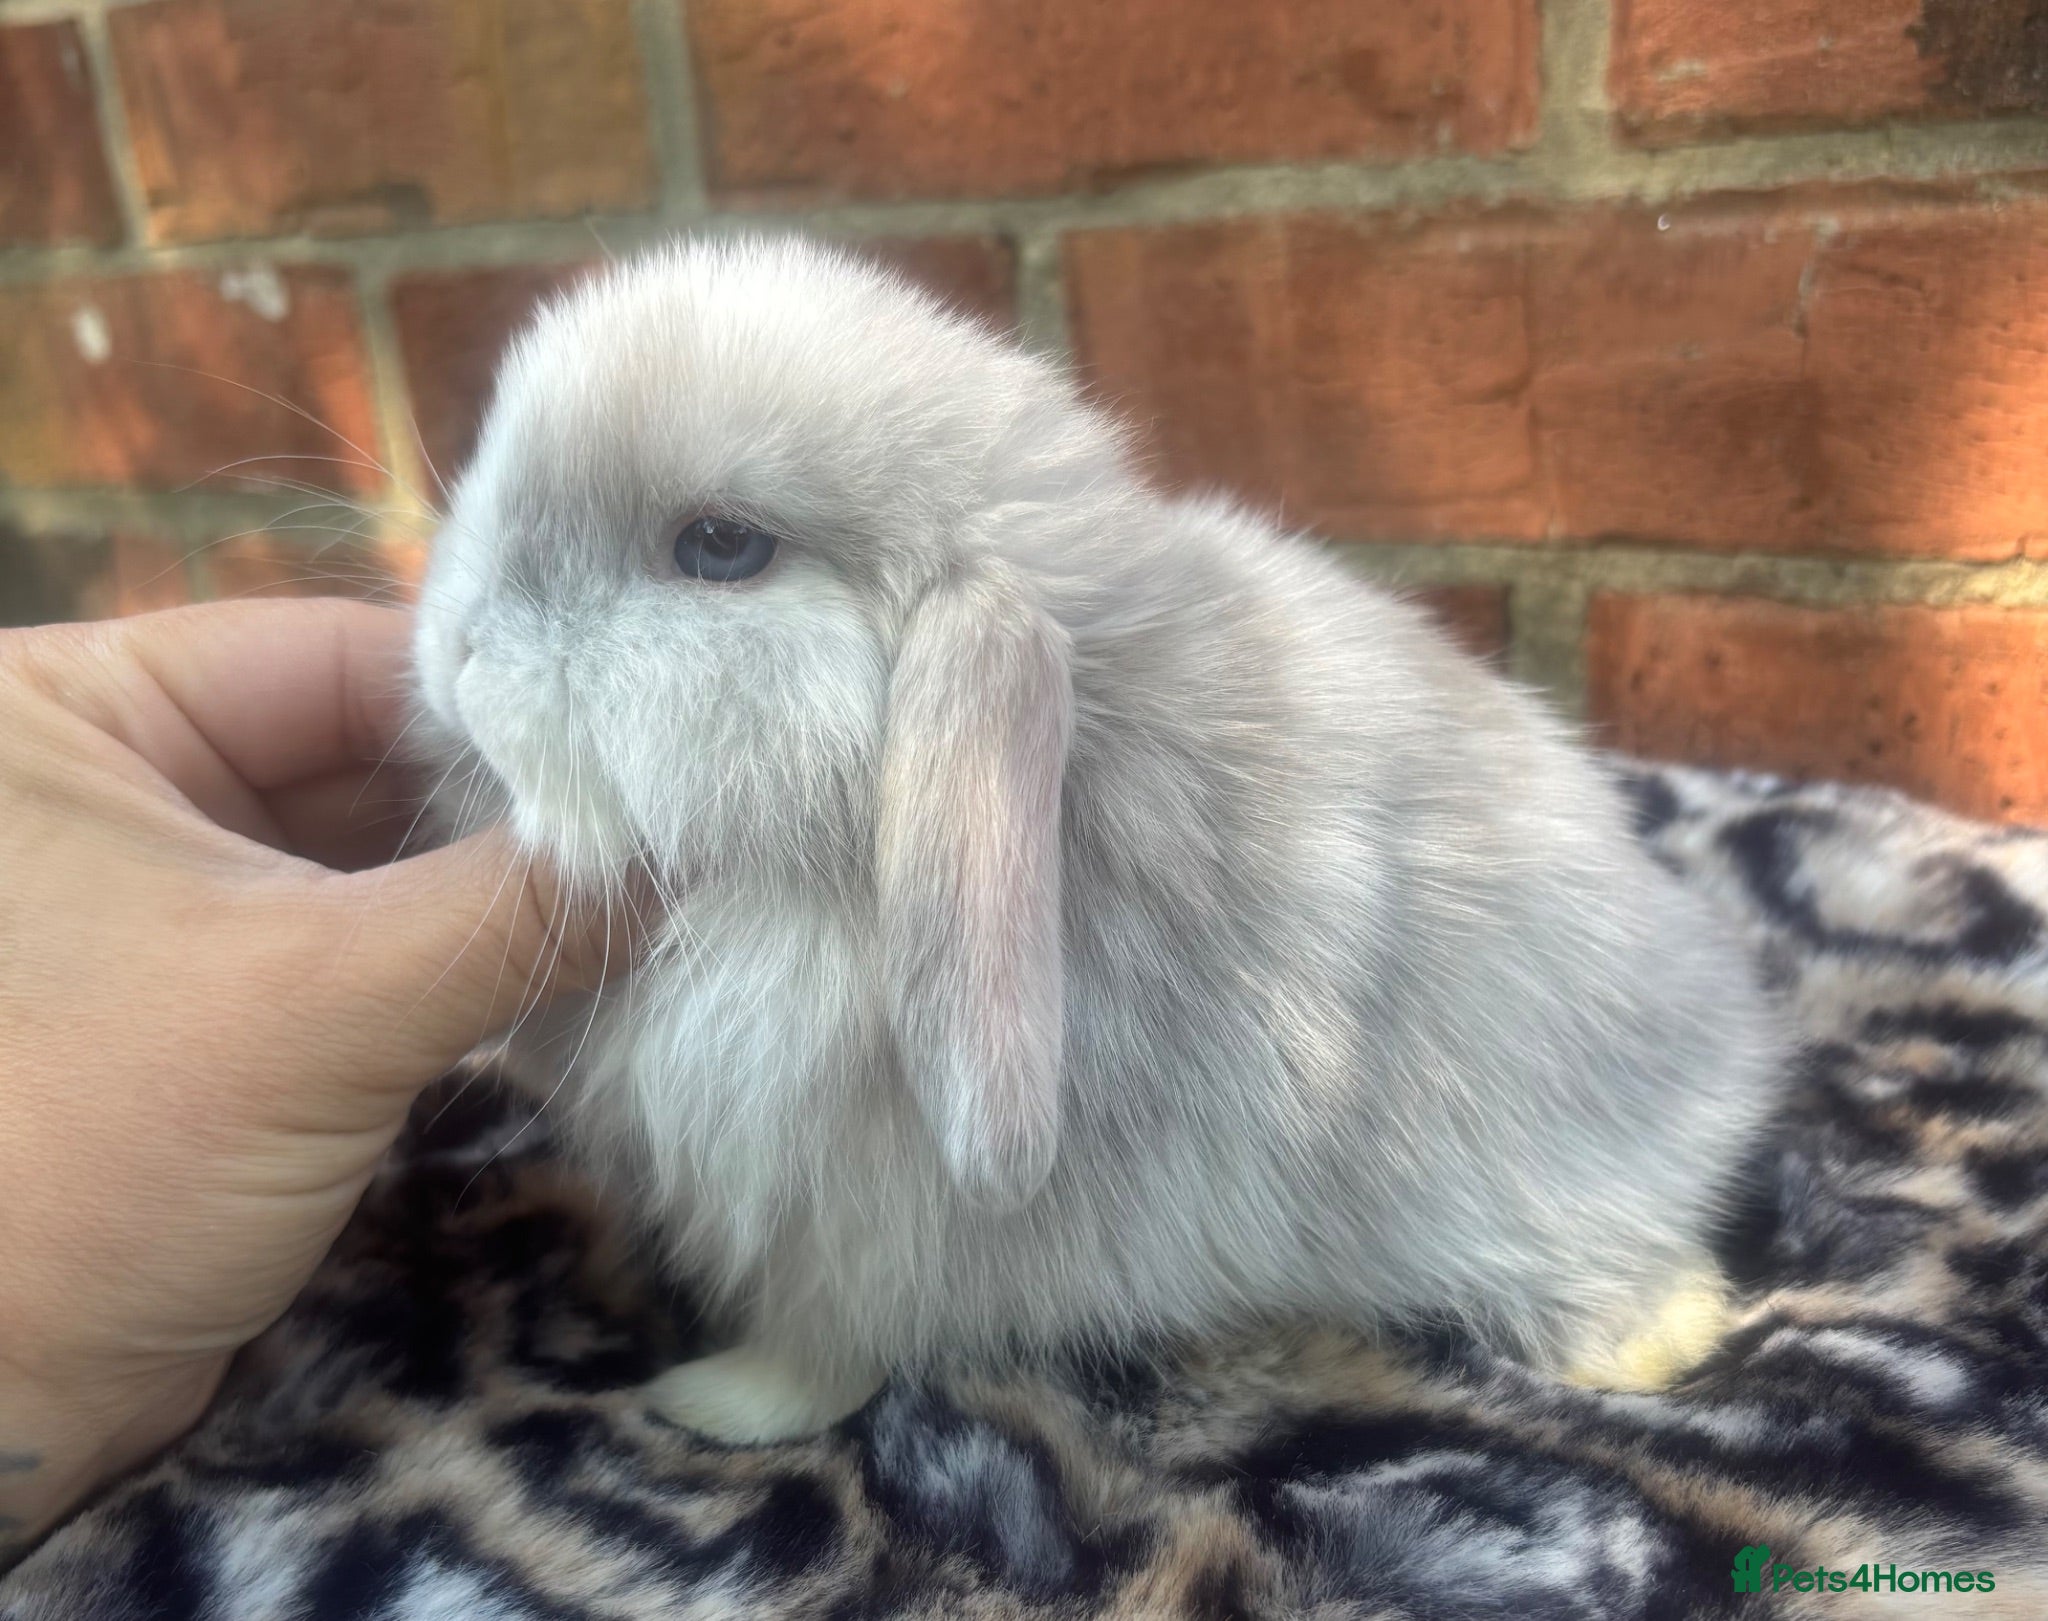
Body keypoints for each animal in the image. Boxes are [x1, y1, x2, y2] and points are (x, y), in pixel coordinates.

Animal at [409, 234, 1784, 1441]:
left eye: (719, 546)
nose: (455, 649)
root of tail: (1720, 1037)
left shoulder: (853, 1225)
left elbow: (821, 1349)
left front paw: (712, 1404)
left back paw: (1643, 1344)